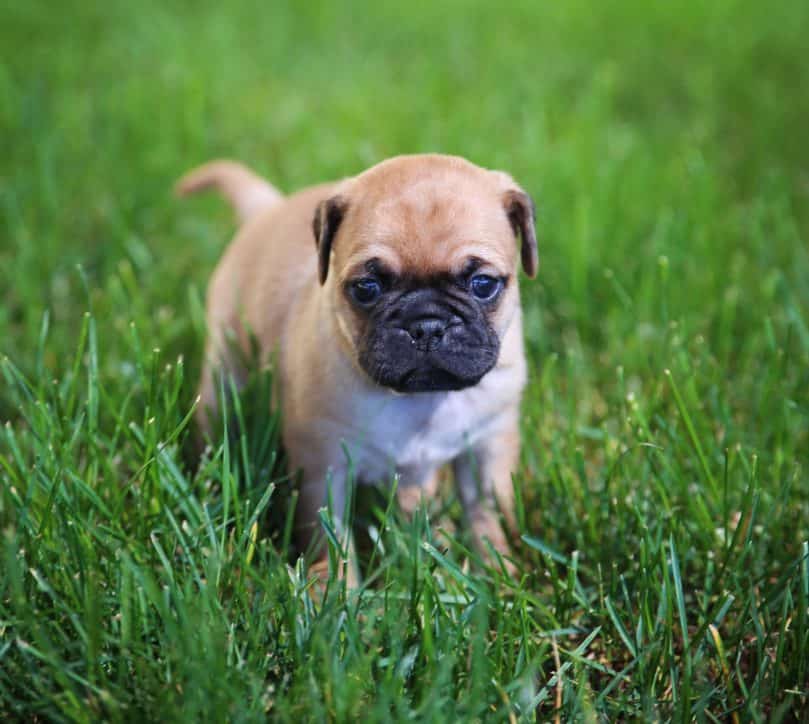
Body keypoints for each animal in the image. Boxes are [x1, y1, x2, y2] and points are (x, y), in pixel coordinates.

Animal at [180, 156, 540, 580]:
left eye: (483, 284)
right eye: (367, 289)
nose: (427, 324)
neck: (422, 400)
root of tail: (267, 209)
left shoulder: (487, 447)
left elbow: (486, 514)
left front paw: (497, 573)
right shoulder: (323, 467)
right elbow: (330, 537)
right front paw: (335, 590)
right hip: (225, 372)